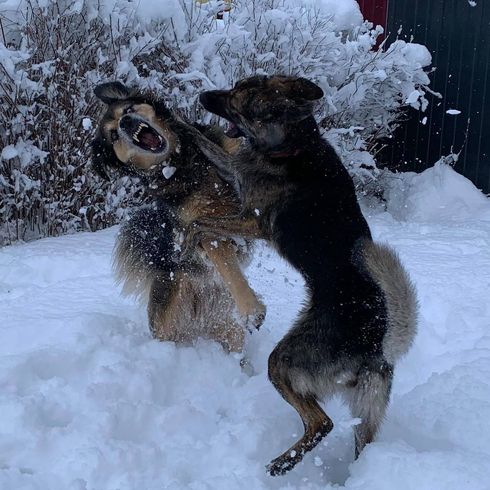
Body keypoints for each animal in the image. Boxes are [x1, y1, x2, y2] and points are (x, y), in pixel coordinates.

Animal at [93, 82, 268, 354]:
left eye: (128, 110)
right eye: (113, 136)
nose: (126, 123)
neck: (184, 163)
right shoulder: (203, 232)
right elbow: (226, 263)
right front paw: (252, 310)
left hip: (228, 328)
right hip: (168, 325)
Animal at [180, 75, 418, 474]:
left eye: (236, 103)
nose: (203, 95)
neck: (294, 145)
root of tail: (375, 342)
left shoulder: (253, 219)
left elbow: (201, 221)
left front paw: (185, 239)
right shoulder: (238, 173)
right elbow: (212, 149)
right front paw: (183, 123)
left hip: (284, 362)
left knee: (322, 422)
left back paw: (281, 464)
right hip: (367, 412)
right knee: (355, 441)